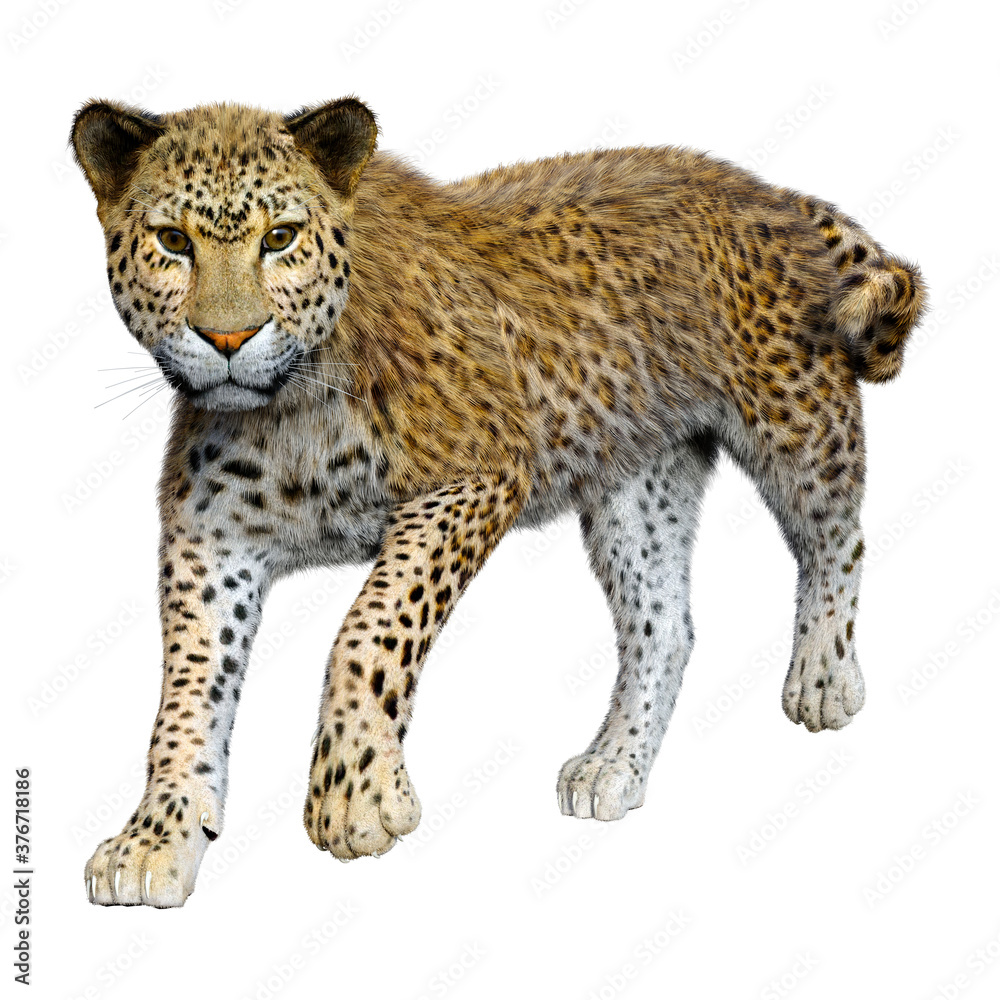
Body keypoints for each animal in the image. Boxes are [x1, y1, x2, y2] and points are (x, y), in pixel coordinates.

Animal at [71, 96, 925, 906]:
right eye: (172, 242)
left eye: (280, 237)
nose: (227, 340)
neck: (286, 410)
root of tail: (765, 189)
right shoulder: (211, 537)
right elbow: (188, 693)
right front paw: (156, 839)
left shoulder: (478, 474)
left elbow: (370, 628)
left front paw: (355, 794)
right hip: (635, 484)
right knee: (664, 624)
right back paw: (614, 764)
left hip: (794, 419)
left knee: (838, 536)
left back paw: (822, 676)